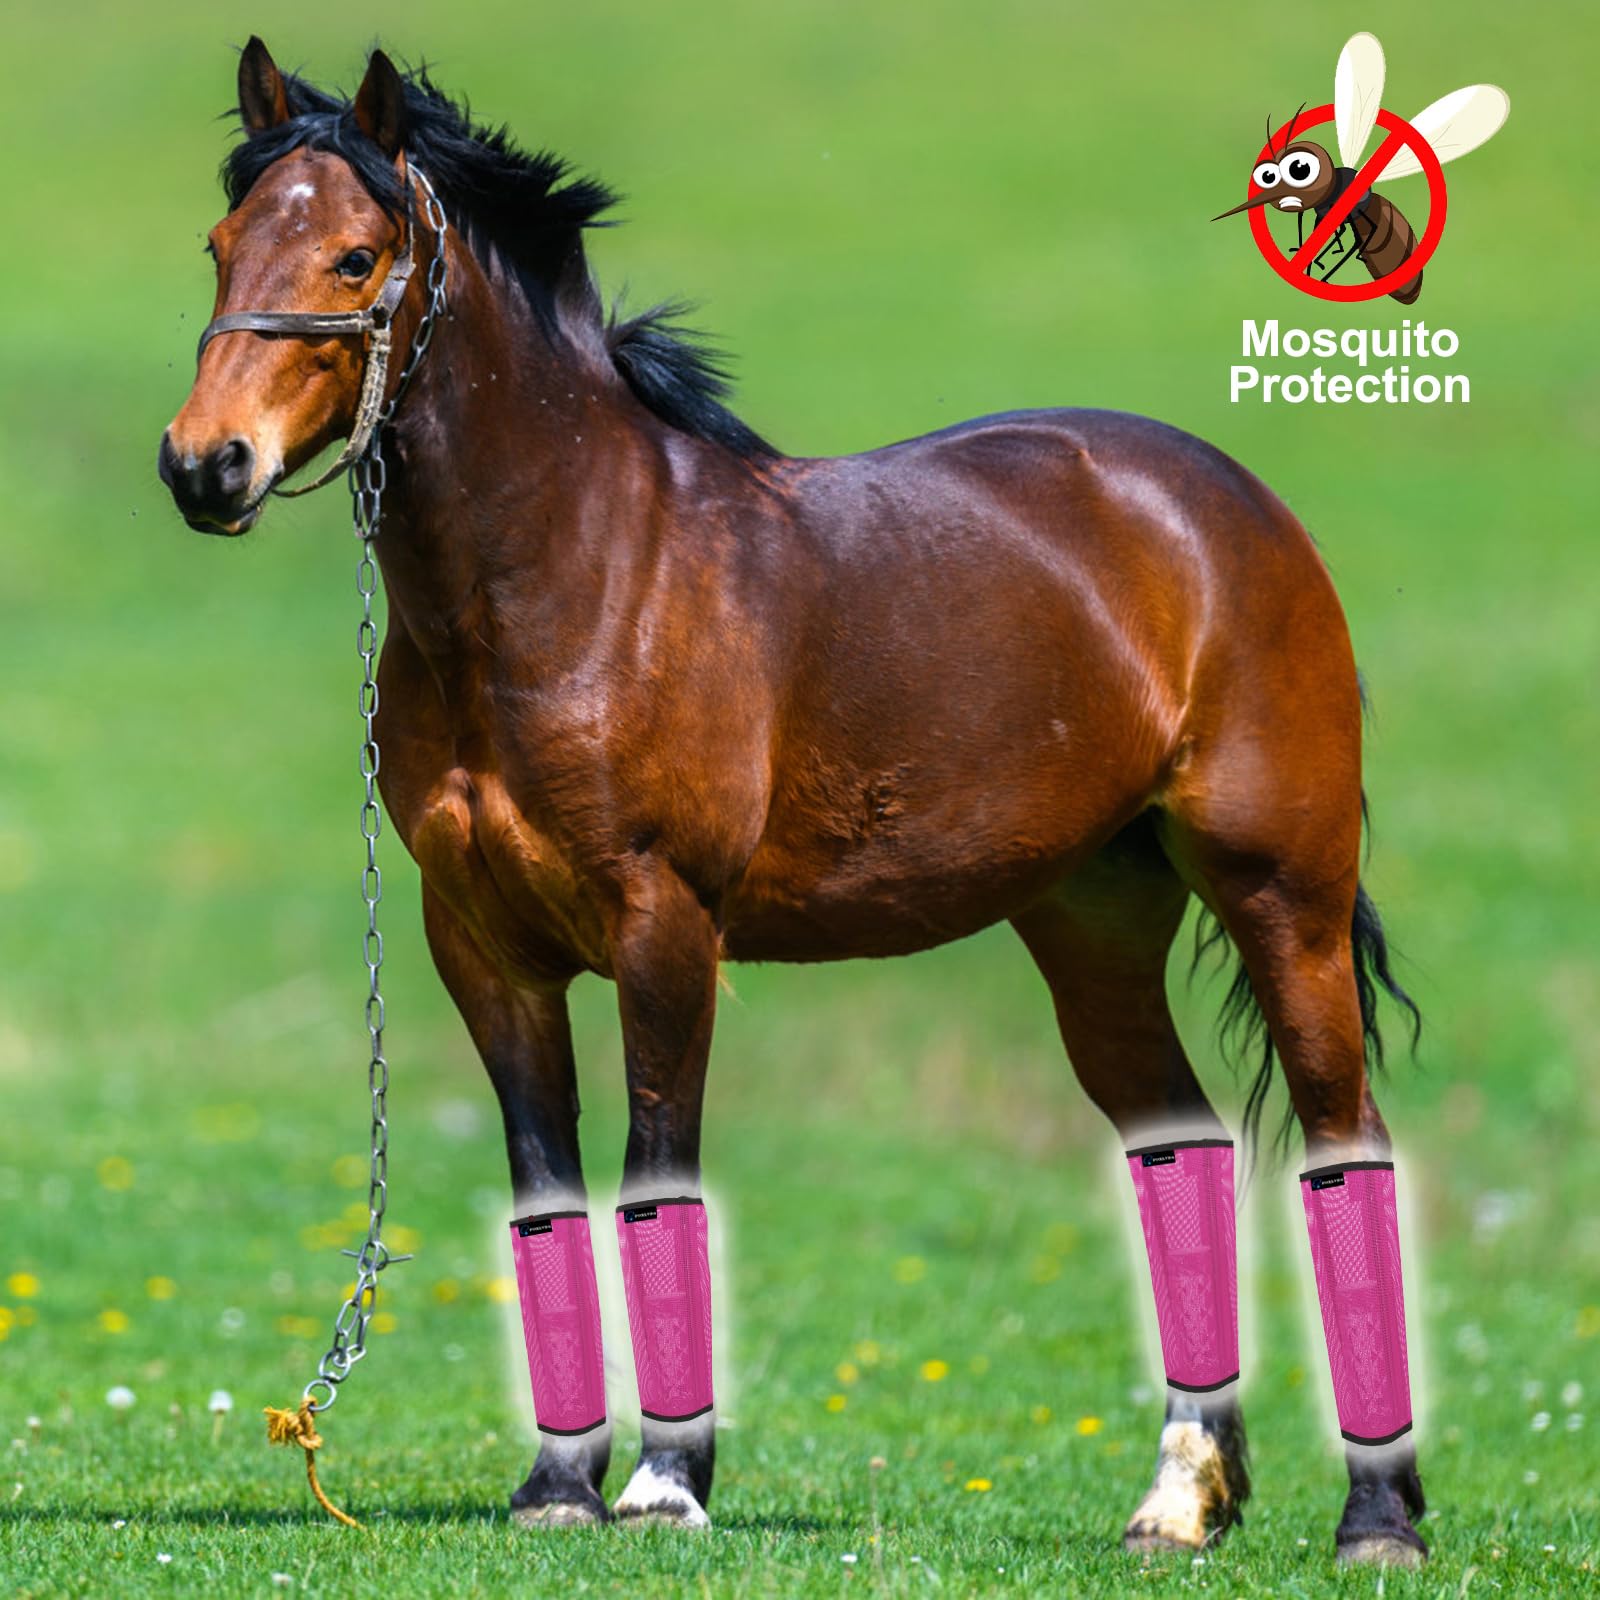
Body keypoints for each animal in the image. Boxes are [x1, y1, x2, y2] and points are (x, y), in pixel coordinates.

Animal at [160, 40, 1428, 1564]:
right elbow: (543, 1195)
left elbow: (657, 1175)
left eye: (355, 257)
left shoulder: (664, 927)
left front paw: (663, 1483)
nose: (203, 465)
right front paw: (557, 1486)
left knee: (1345, 1143)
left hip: (1281, 896)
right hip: (1092, 921)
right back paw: (1180, 1499)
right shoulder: (482, 948)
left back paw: (1378, 1516)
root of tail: (1224, 503)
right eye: (221, 243)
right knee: (1178, 1144)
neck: (575, 572)